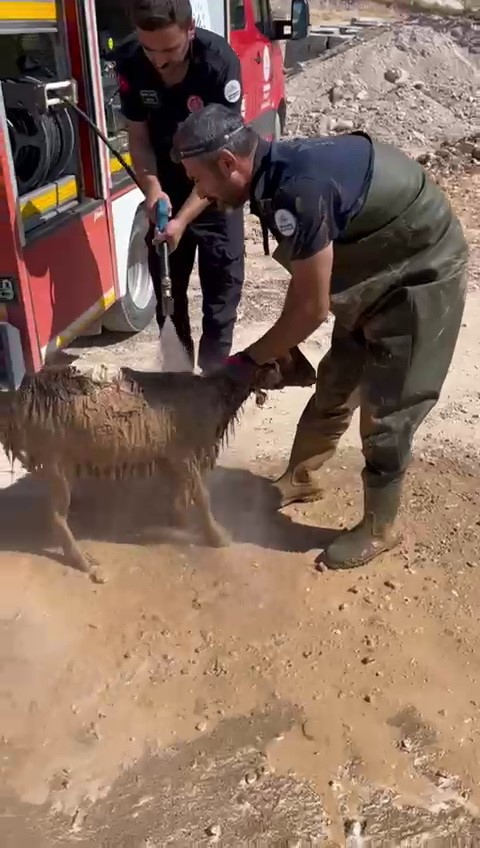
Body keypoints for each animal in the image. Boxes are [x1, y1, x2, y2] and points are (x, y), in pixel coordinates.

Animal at [0, 346, 316, 576]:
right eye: (290, 354)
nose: (314, 375)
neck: (217, 392)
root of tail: (20, 398)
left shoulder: (171, 456)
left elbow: (181, 491)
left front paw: (178, 521)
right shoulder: (185, 453)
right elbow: (202, 496)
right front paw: (218, 537)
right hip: (55, 458)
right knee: (56, 516)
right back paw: (84, 562)